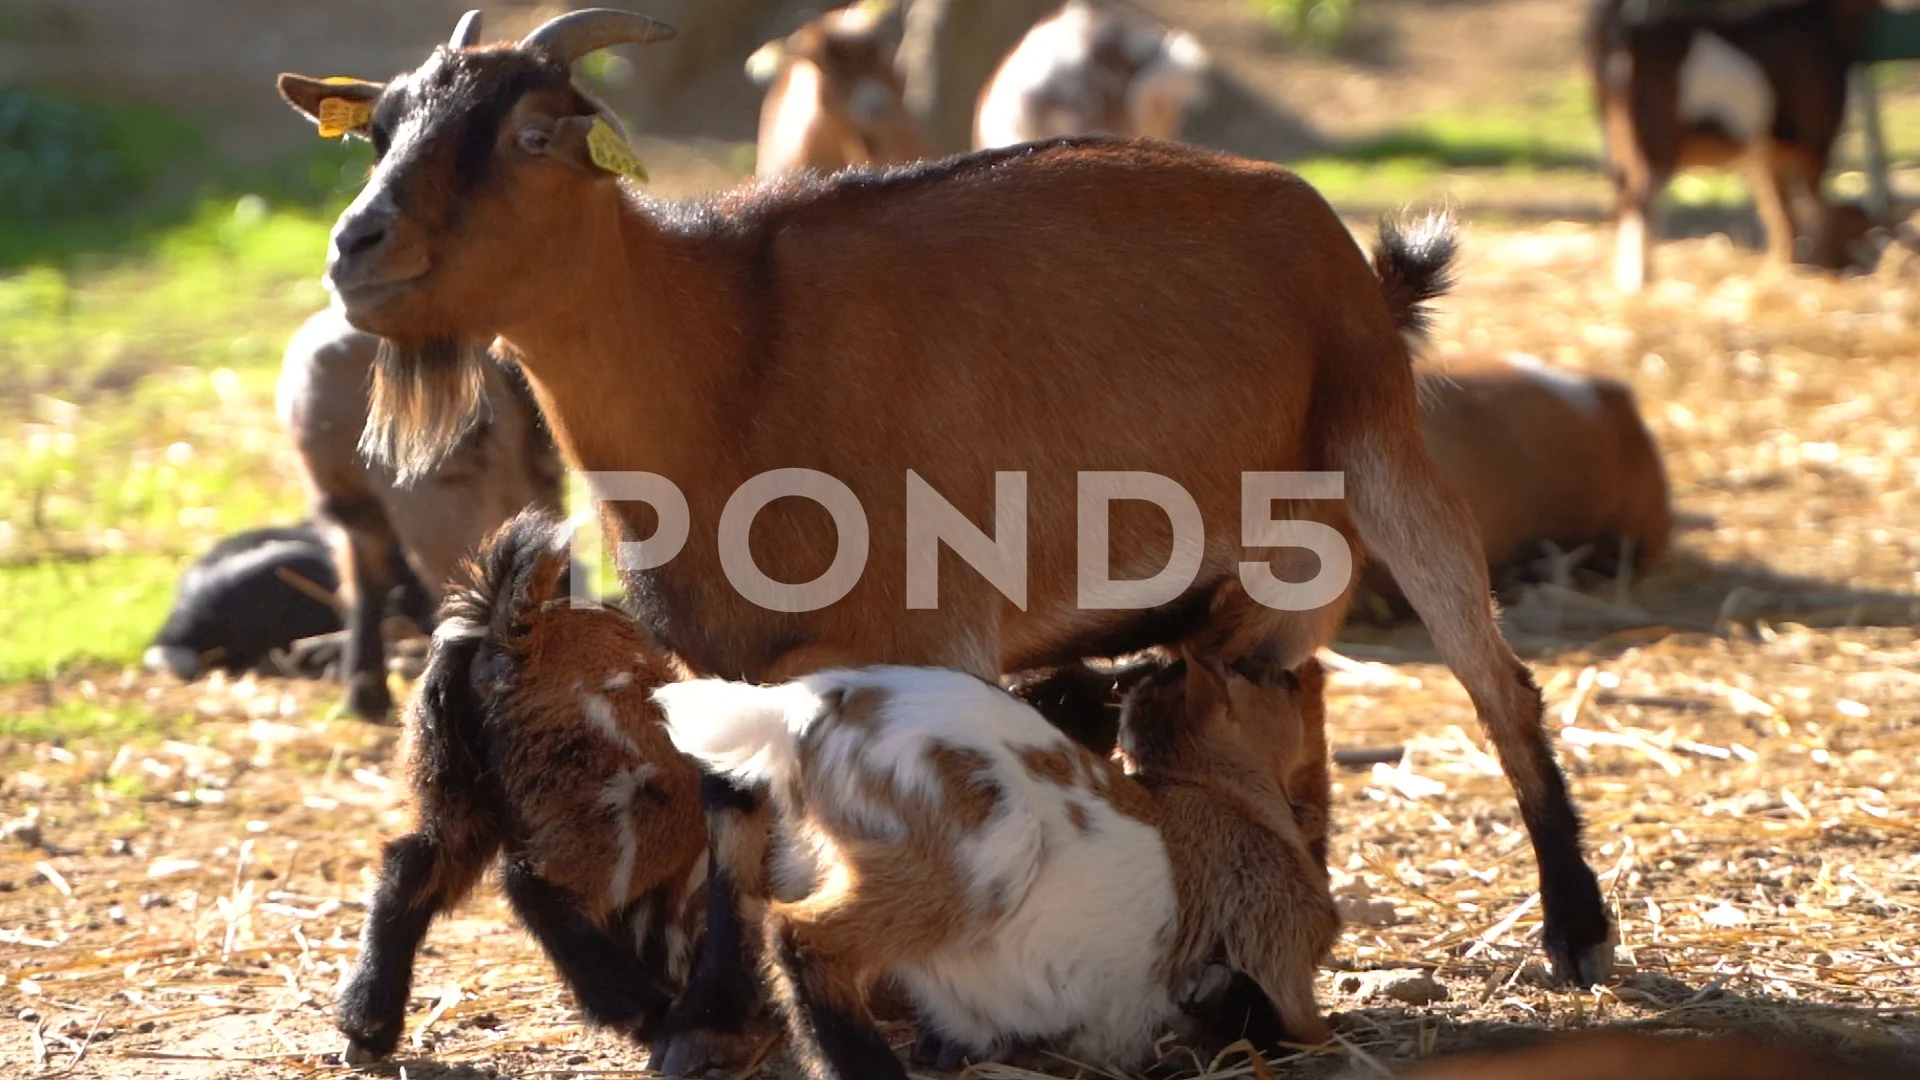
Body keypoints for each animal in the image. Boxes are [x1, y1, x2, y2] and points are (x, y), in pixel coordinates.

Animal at [274, 6, 1605, 1068]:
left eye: (534, 133)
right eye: (379, 129)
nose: (355, 248)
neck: (726, 349)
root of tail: (1349, 256)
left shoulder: (929, 634)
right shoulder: (719, 650)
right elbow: (735, 825)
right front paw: (710, 1020)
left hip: (1390, 462)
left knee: (1497, 681)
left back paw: (1575, 930)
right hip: (1251, 586)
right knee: (1292, 699)